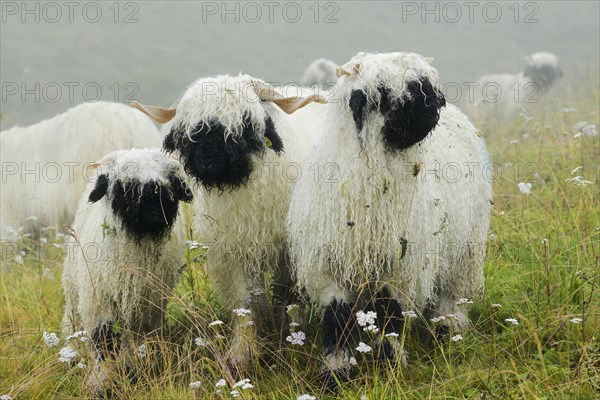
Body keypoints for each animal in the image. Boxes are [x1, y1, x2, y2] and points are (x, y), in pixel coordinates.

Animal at [61, 148, 192, 392]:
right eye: (125, 185)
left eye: (169, 179)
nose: (154, 207)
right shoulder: (98, 302)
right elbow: (103, 340)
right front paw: (101, 383)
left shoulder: (147, 308)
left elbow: (136, 342)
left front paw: (132, 372)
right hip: (75, 290)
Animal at [132, 74, 328, 366]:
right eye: (191, 131)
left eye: (244, 125)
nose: (208, 162)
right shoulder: (235, 250)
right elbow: (244, 300)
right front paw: (241, 352)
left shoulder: (291, 249)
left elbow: (289, 295)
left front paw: (294, 339)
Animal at [286, 51, 492, 374]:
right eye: (383, 93)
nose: (435, 107)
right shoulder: (327, 265)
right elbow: (336, 316)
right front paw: (336, 368)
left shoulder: (400, 268)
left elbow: (389, 312)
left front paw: (391, 361)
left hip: (467, 247)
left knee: (453, 293)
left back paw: (449, 328)